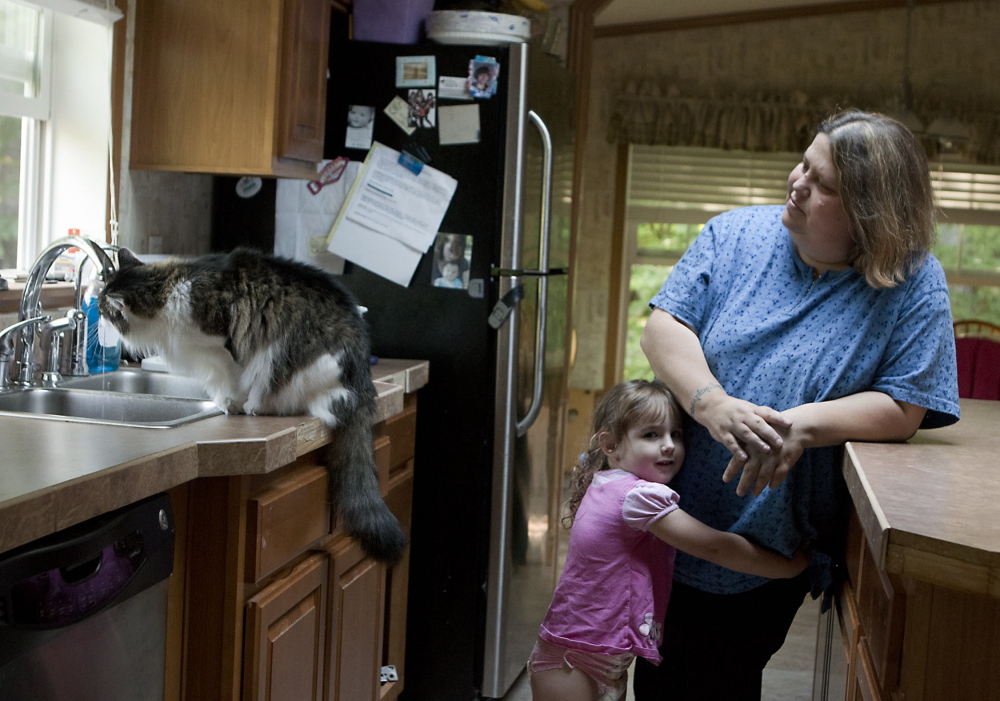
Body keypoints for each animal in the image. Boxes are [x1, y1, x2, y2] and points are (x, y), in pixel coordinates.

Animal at [99, 247, 408, 564]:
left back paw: (257, 406)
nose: (98, 316)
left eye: (103, 308)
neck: (167, 290)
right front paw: (223, 399)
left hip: (297, 364)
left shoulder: (221, 344)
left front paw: (232, 403)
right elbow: (222, 380)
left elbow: (234, 378)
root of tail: (362, 380)